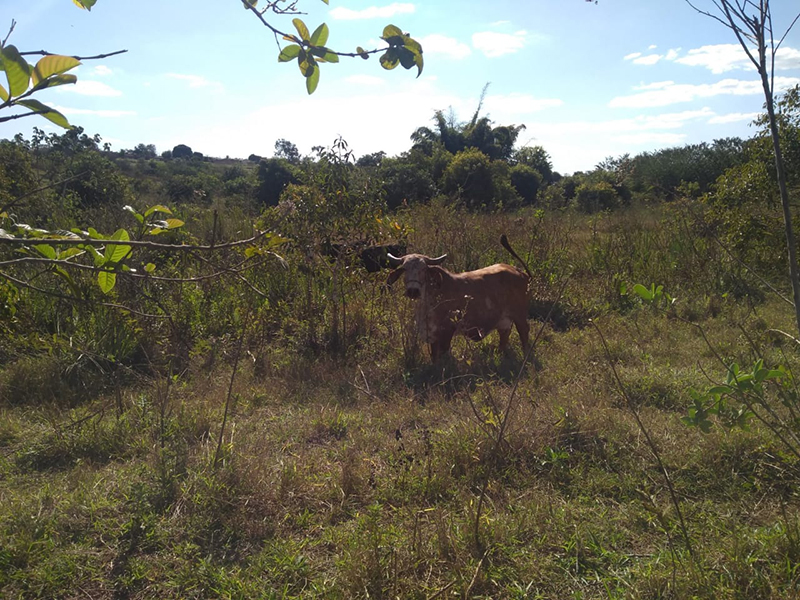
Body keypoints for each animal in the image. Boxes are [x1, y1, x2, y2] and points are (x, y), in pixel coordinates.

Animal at [388, 237, 532, 364]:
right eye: (405, 268)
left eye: (423, 269)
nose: (413, 291)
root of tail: (520, 272)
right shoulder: (432, 334)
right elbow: (434, 355)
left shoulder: (447, 330)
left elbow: (442, 353)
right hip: (504, 320)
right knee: (504, 335)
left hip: (519, 315)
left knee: (524, 332)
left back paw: (525, 356)